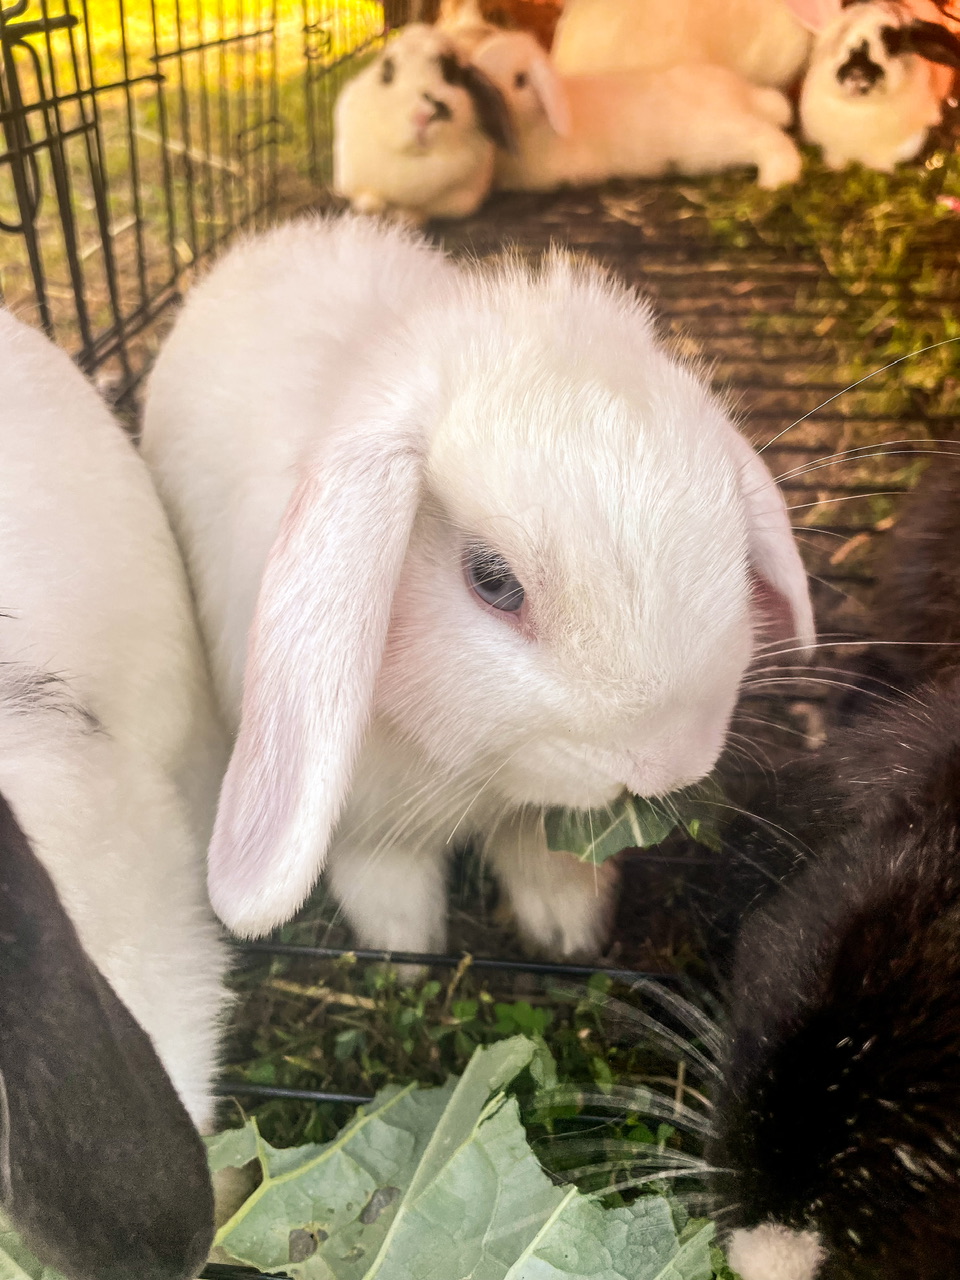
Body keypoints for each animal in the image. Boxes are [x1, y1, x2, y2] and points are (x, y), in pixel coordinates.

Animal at [140, 213, 814, 962]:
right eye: (493, 582)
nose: (672, 763)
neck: (466, 770)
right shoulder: (365, 824)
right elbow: (384, 876)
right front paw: (407, 949)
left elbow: (541, 857)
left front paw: (570, 933)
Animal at [332, 23, 514, 224]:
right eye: (387, 73)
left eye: (450, 73)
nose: (422, 115)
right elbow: (367, 196)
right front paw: (371, 208)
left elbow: (420, 210)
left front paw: (404, 217)